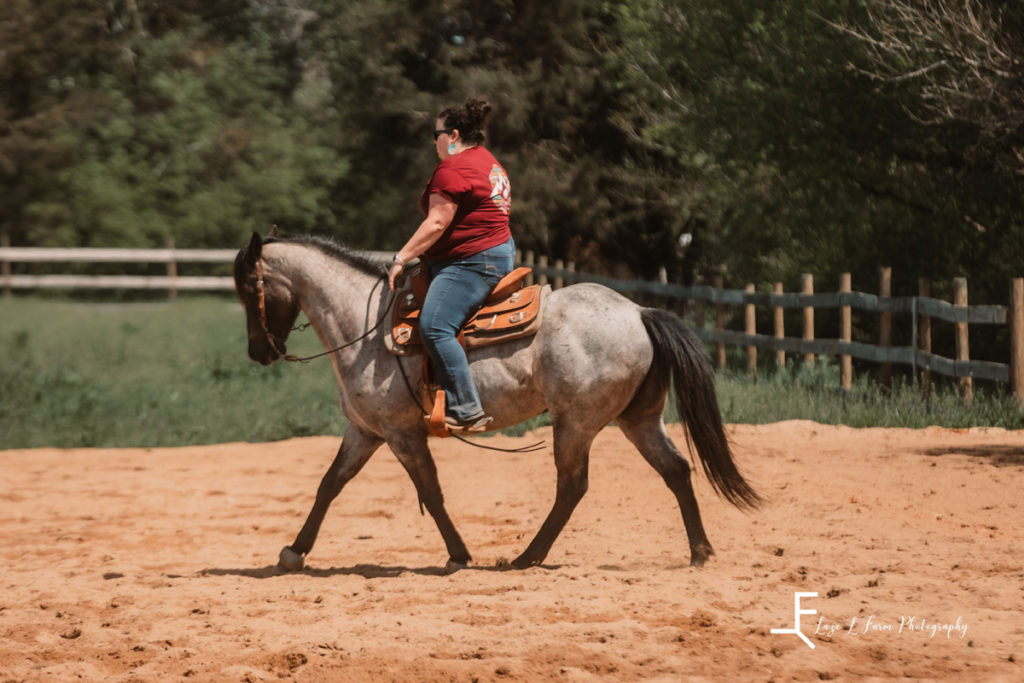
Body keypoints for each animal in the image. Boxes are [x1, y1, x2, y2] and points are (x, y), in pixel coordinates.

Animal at [234, 229, 761, 573]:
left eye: (247, 287)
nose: (259, 352)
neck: (364, 328)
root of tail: (638, 311)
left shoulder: (402, 433)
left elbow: (430, 492)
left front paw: (460, 555)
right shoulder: (365, 431)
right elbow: (329, 485)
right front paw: (293, 552)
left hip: (576, 423)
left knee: (572, 487)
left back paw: (527, 557)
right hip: (639, 419)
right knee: (675, 470)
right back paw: (699, 552)